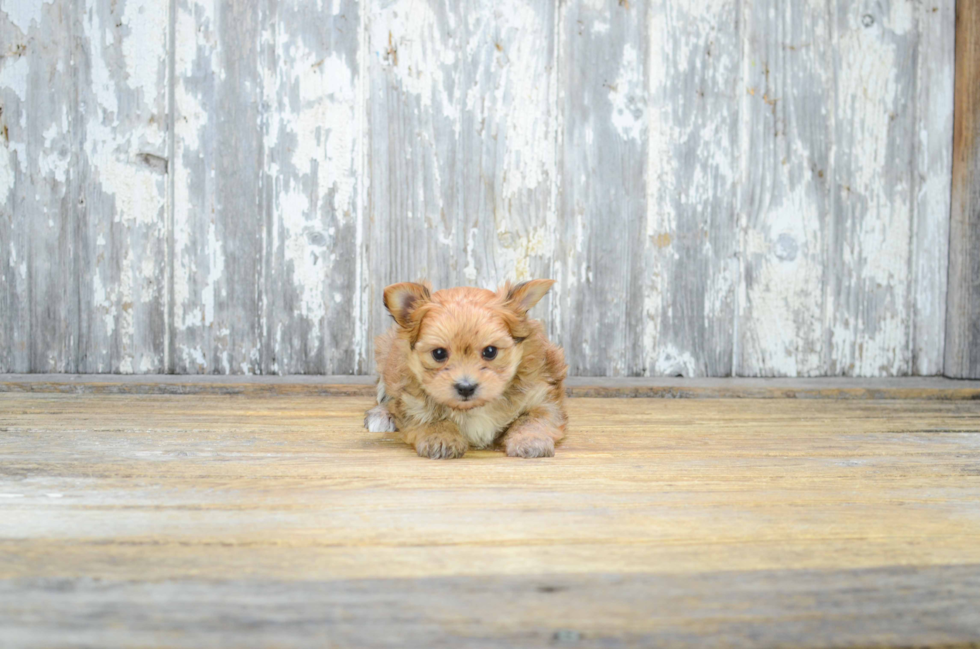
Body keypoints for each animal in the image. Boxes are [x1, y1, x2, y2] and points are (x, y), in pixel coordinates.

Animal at [366, 280, 568, 458]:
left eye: (490, 351)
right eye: (439, 353)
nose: (465, 387)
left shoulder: (542, 394)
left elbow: (532, 419)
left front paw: (530, 441)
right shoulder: (412, 403)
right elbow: (431, 419)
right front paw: (441, 438)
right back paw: (382, 414)